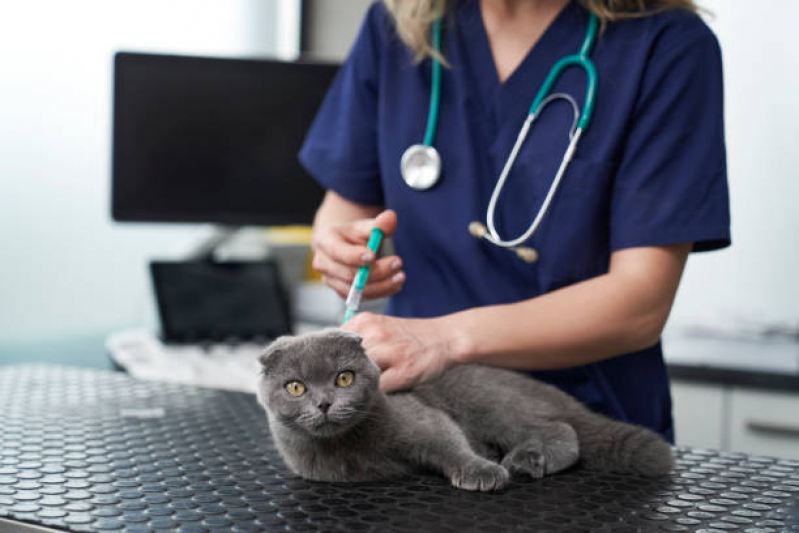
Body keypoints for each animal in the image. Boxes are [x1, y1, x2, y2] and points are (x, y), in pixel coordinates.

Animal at [258, 328, 676, 490]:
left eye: (344, 378)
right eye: (295, 387)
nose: (324, 403)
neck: (346, 445)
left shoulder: (421, 418)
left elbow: (448, 443)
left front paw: (481, 472)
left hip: (487, 402)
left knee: (561, 431)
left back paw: (524, 460)